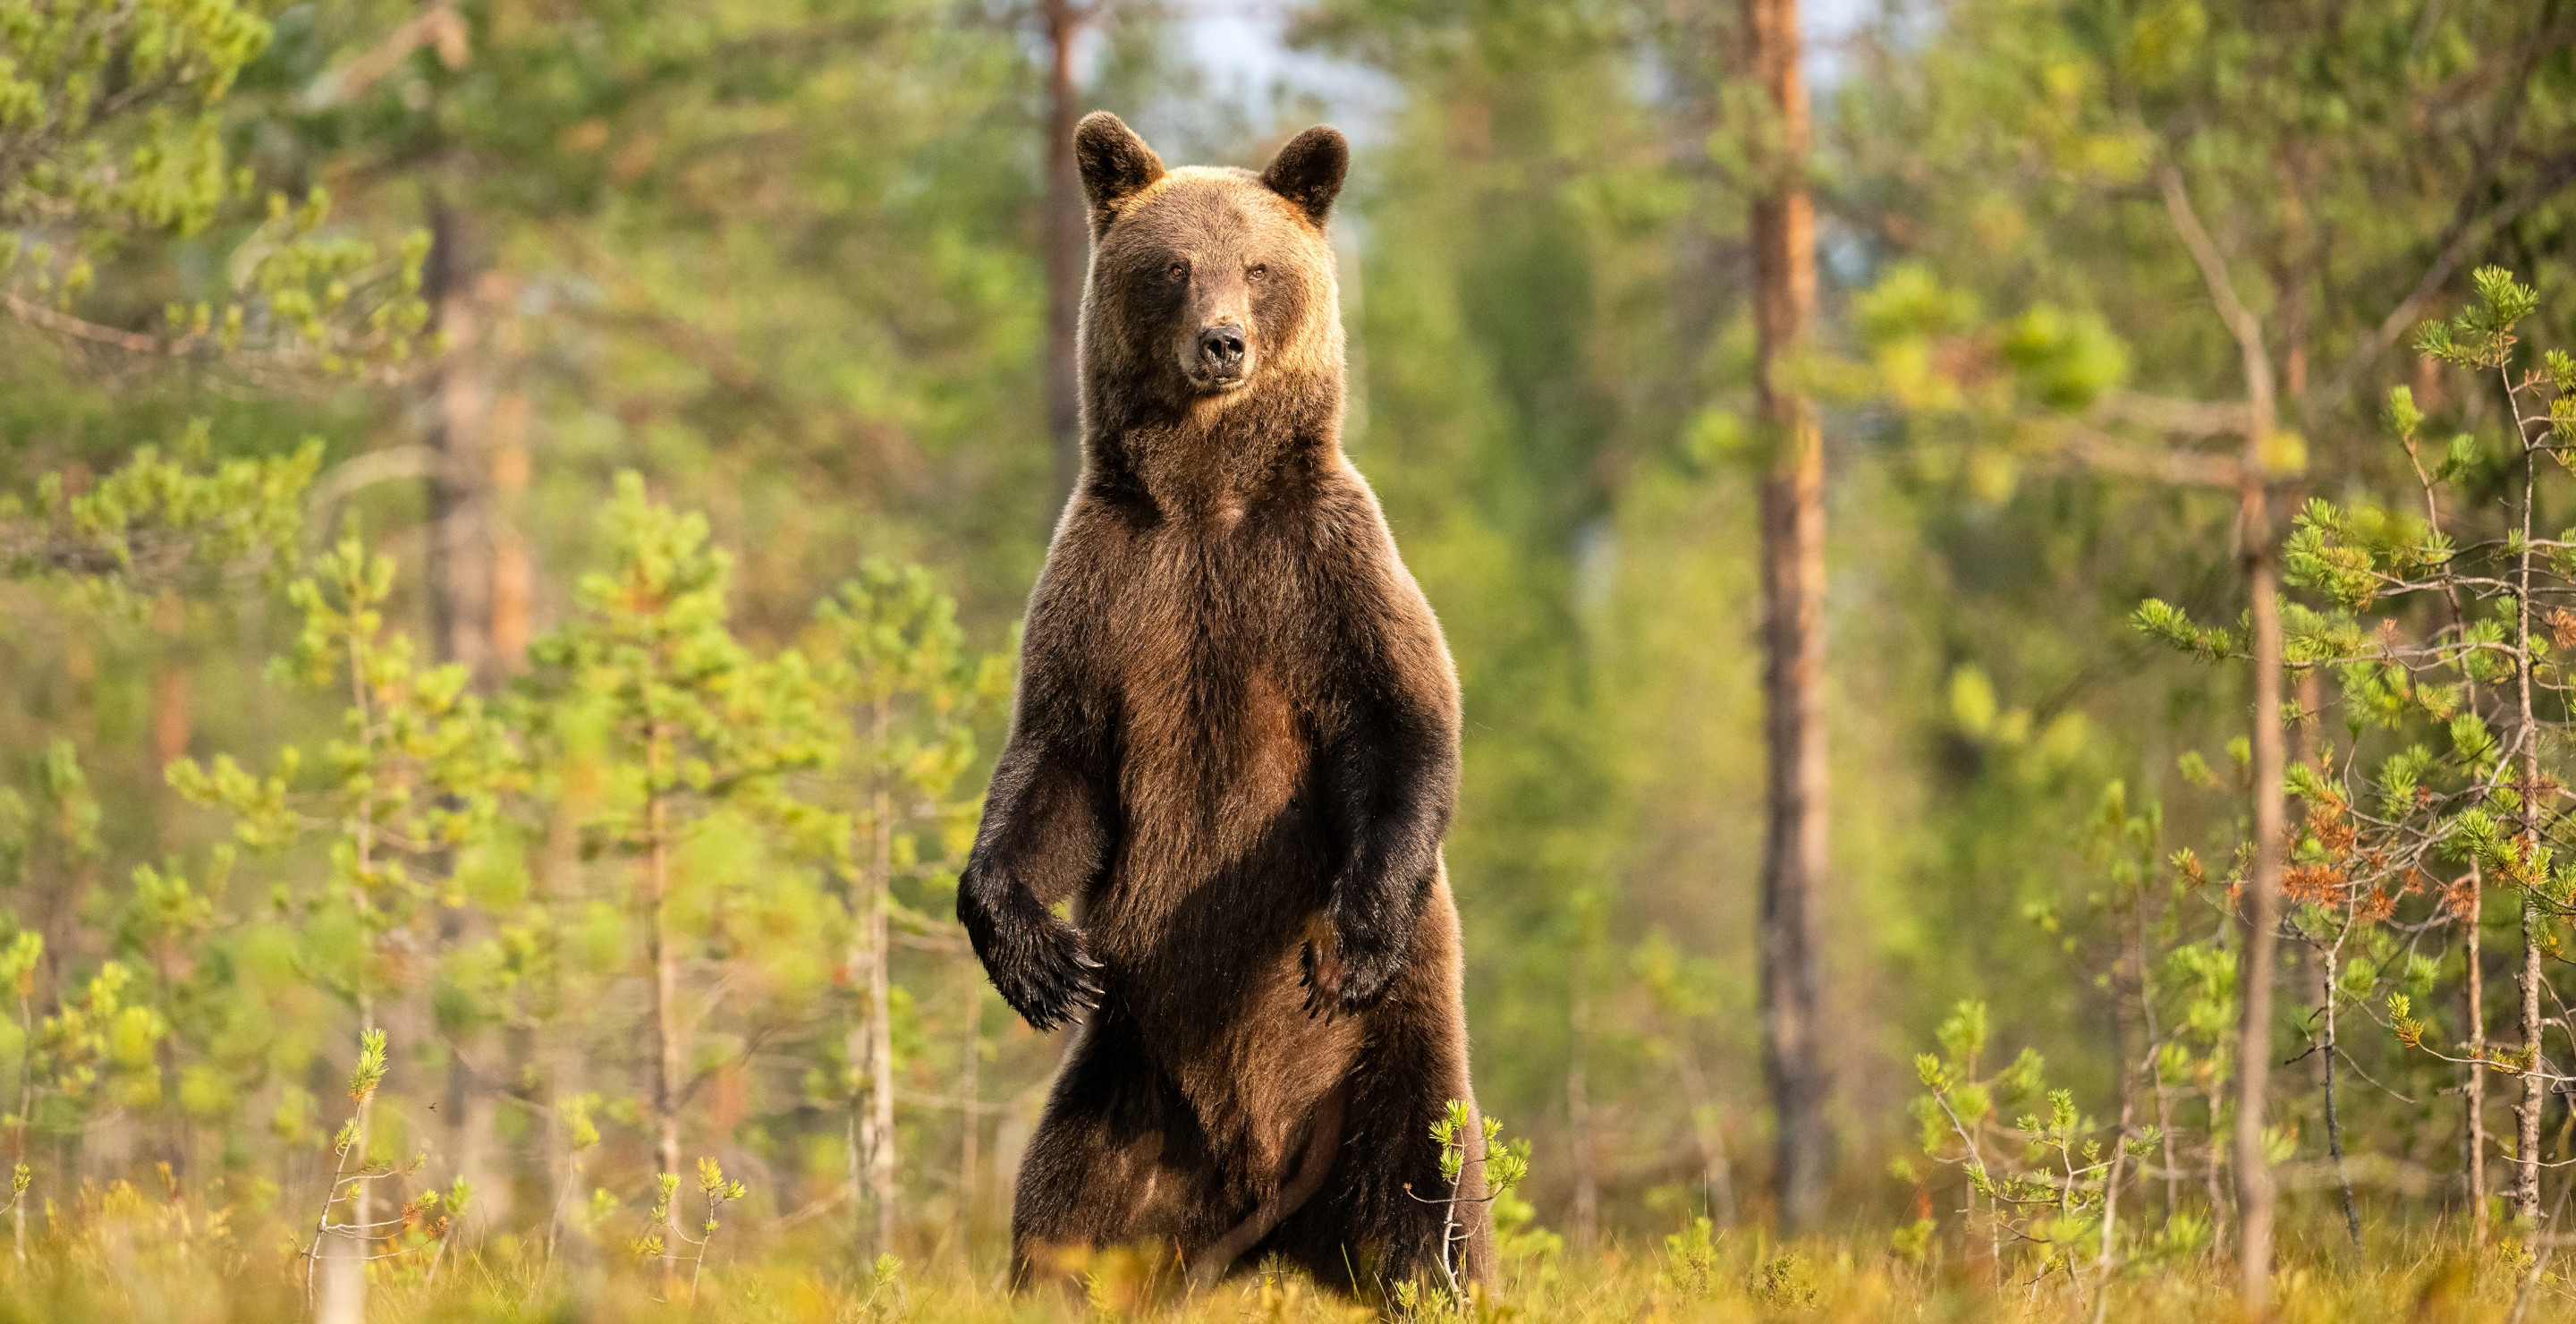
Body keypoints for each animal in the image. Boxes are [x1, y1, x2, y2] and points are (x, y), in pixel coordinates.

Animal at [955, 111, 1495, 1296]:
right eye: (1171, 267)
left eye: (1258, 266)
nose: (1222, 344)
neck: (1205, 499)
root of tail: (1270, 1211)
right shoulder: (1110, 591)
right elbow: (1057, 769)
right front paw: (1036, 957)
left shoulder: (1320, 571)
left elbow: (1402, 723)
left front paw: (1351, 937)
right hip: (1125, 1095)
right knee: (1061, 1222)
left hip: (1394, 1067)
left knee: (1426, 1210)